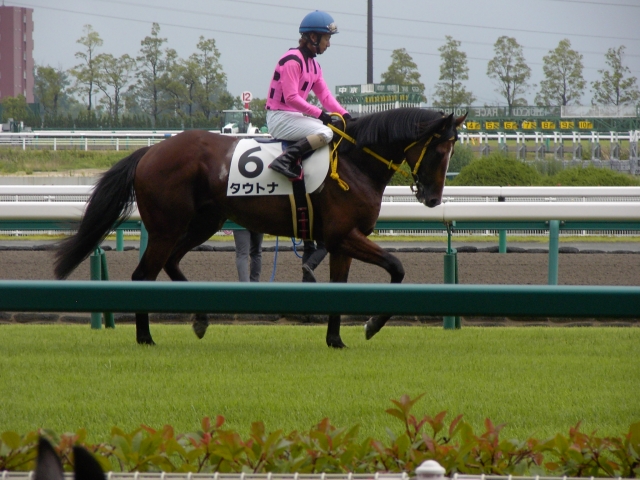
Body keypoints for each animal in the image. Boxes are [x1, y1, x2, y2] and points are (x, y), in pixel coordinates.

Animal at [54, 108, 466, 347]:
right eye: (439, 151)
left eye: (451, 151)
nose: (433, 198)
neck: (355, 162)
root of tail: (150, 151)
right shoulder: (345, 236)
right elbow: (397, 267)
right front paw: (372, 325)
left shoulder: (340, 242)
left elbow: (340, 288)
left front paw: (335, 340)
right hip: (168, 227)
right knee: (143, 275)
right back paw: (145, 337)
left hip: (204, 222)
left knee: (170, 263)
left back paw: (200, 319)